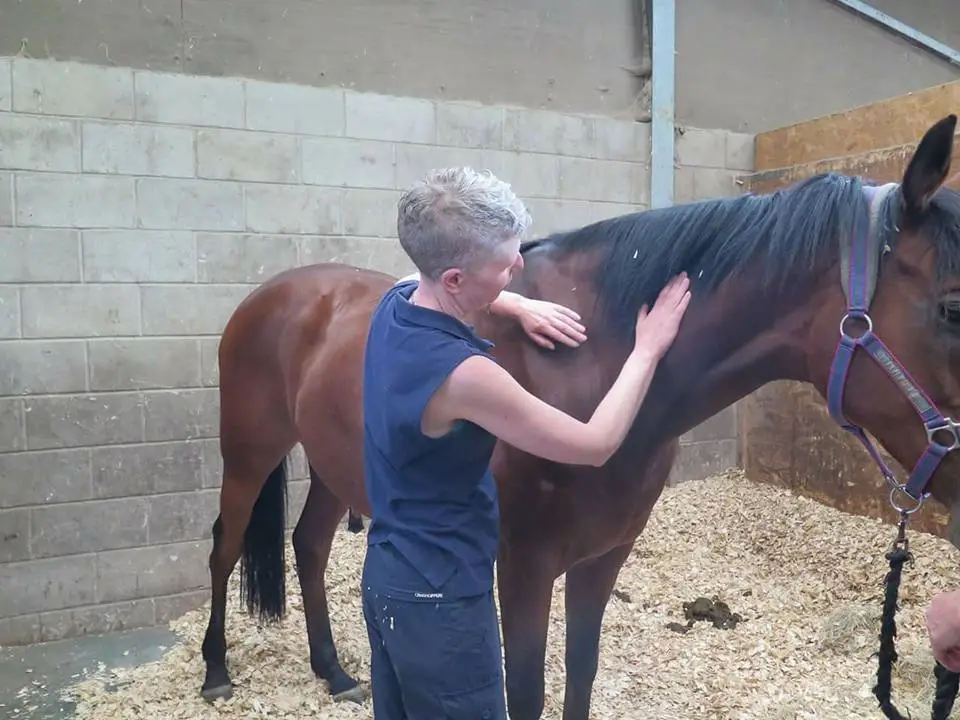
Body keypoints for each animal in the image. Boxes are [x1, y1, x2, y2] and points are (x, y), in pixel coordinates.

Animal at [199, 114, 960, 719]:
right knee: (225, 544)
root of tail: (276, 292)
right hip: (250, 451)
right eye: (952, 306)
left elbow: (582, 676)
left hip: (332, 465)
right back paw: (215, 673)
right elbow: (526, 693)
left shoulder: (603, 558)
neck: (590, 363)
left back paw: (333, 672)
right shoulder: (523, 567)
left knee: (308, 546)